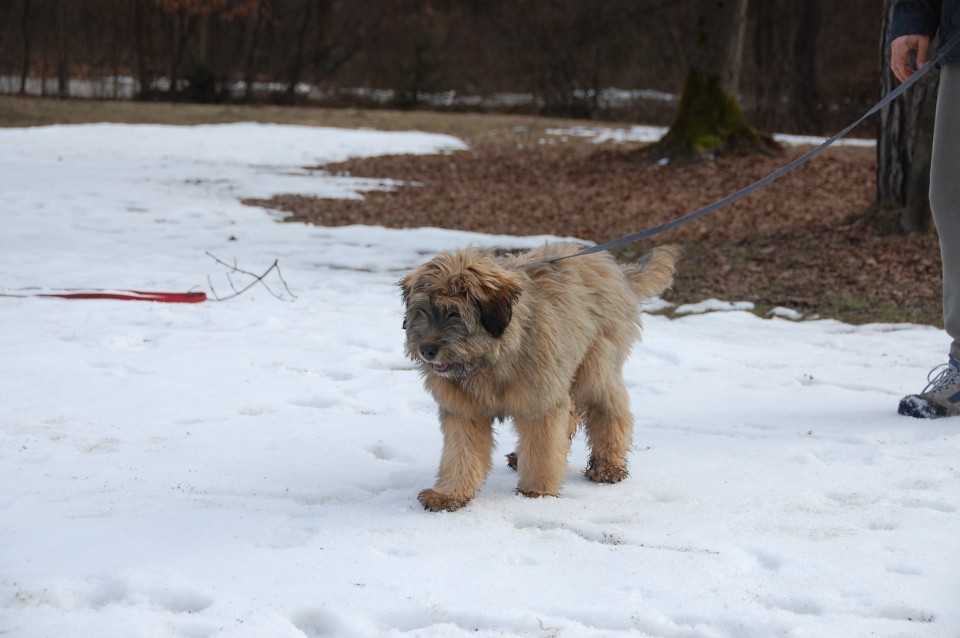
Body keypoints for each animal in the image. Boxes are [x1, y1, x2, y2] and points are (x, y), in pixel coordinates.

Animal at [402, 242, 680, 512]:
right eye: (421, 311)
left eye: (454, 313)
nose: (426, 350)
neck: (490, 361)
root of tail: (613, 267)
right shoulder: (464, 411)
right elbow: (461, 453)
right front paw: (448, 495)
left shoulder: (540, 402)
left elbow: (542, 448)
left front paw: (537, 492)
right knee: (572, 412)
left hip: (595, 366)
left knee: (609, 411)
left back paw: (607, 466)